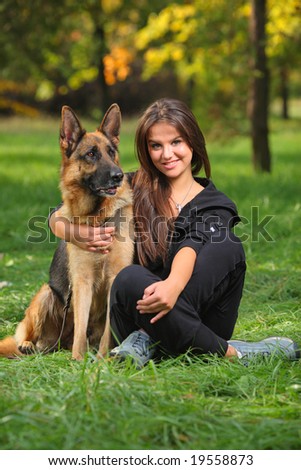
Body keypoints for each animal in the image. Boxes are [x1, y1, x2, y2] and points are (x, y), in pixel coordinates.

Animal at [0, 103, 132, 360]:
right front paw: (78, 361)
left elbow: (107, 331)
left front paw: (102, 361)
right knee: (27, 335)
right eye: (91, 154)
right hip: (45, 294)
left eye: (111, 152)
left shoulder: (114, 278)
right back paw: (29, 344)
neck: (96, 217)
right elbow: (80, 327)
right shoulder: (82, 281)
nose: (118, 176)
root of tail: (59, 343)